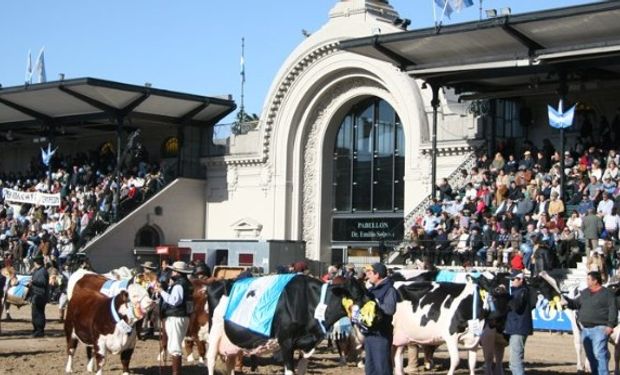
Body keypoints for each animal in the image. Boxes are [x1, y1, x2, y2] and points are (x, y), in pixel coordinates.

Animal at [205, 276, 368, 375]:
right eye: (358, 296)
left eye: (370, 294)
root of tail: (220, 282)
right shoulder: (286, 342)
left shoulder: (307, 344)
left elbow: (301, 369)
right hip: (214, 335)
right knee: (211, 361)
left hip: (231, 342)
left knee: (230, 364)